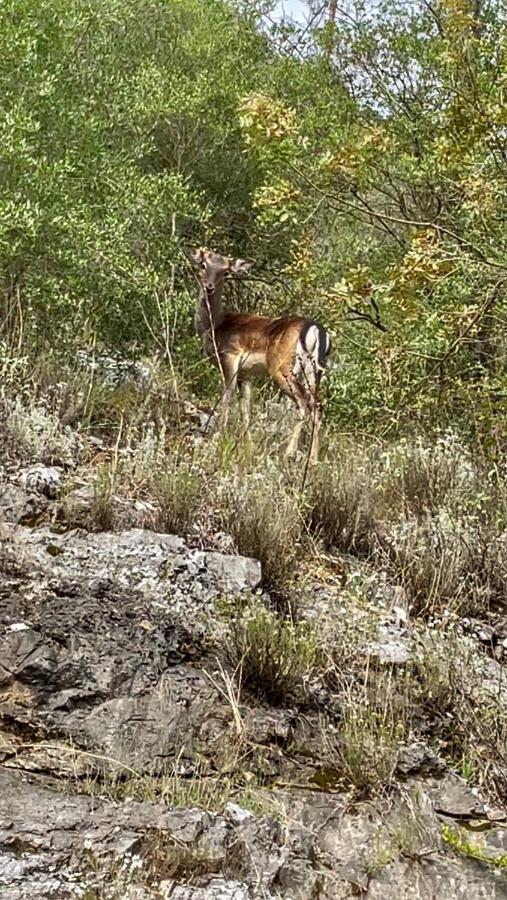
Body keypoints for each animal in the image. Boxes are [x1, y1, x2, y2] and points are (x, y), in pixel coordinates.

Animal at [192, 250, 332, 468]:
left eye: (225, 271)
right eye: (204, 264)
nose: (209, 287)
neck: (214, 327)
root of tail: (316, 331)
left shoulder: (230, 356)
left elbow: (226, 397)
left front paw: (219, 436)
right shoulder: (246, 374)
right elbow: (245, 408)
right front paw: (247, 446)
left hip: (283, 368)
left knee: (302, 404)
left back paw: (288, 453)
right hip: (314, 371)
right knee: (317, 405)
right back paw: (313, 459)